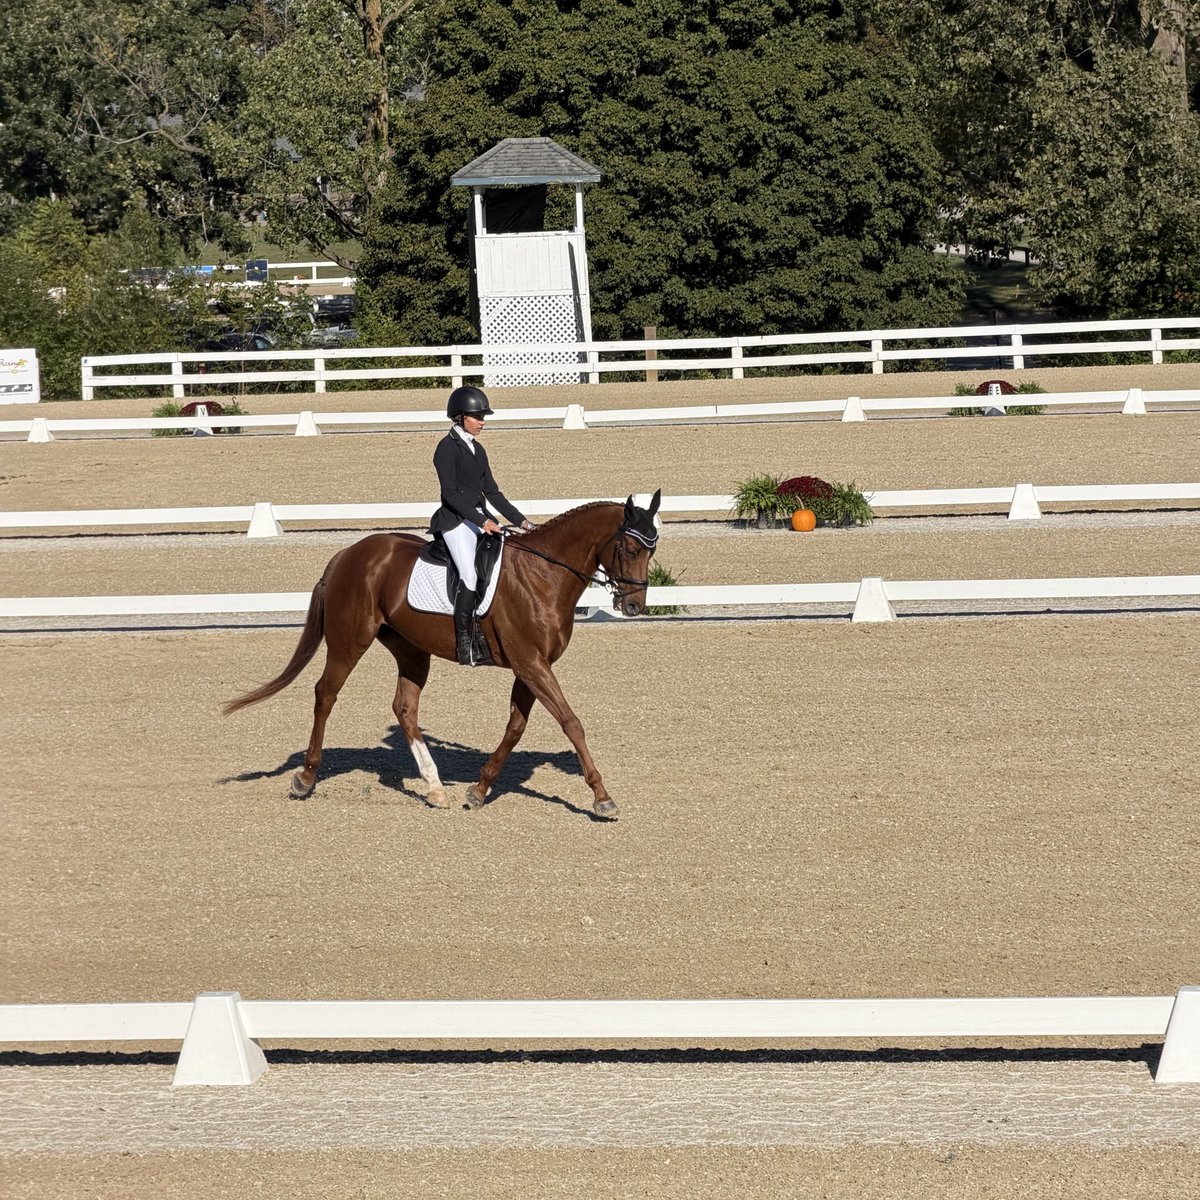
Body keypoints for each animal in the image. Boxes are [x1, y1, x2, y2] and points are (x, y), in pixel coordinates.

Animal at [224, 491, 661, 819]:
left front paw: (479, 789)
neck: (543, 574)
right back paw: (305, 778)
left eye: (651, 551)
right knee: (325, 694)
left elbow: (515, 728)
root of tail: (345, 556)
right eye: (628, 547)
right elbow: (571, 723)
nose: (634, 606)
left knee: (404, 708)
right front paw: (602, 798)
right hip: (350, 641)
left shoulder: (531, 666)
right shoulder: (531, 664)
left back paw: (435, 788)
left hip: (411, 649)